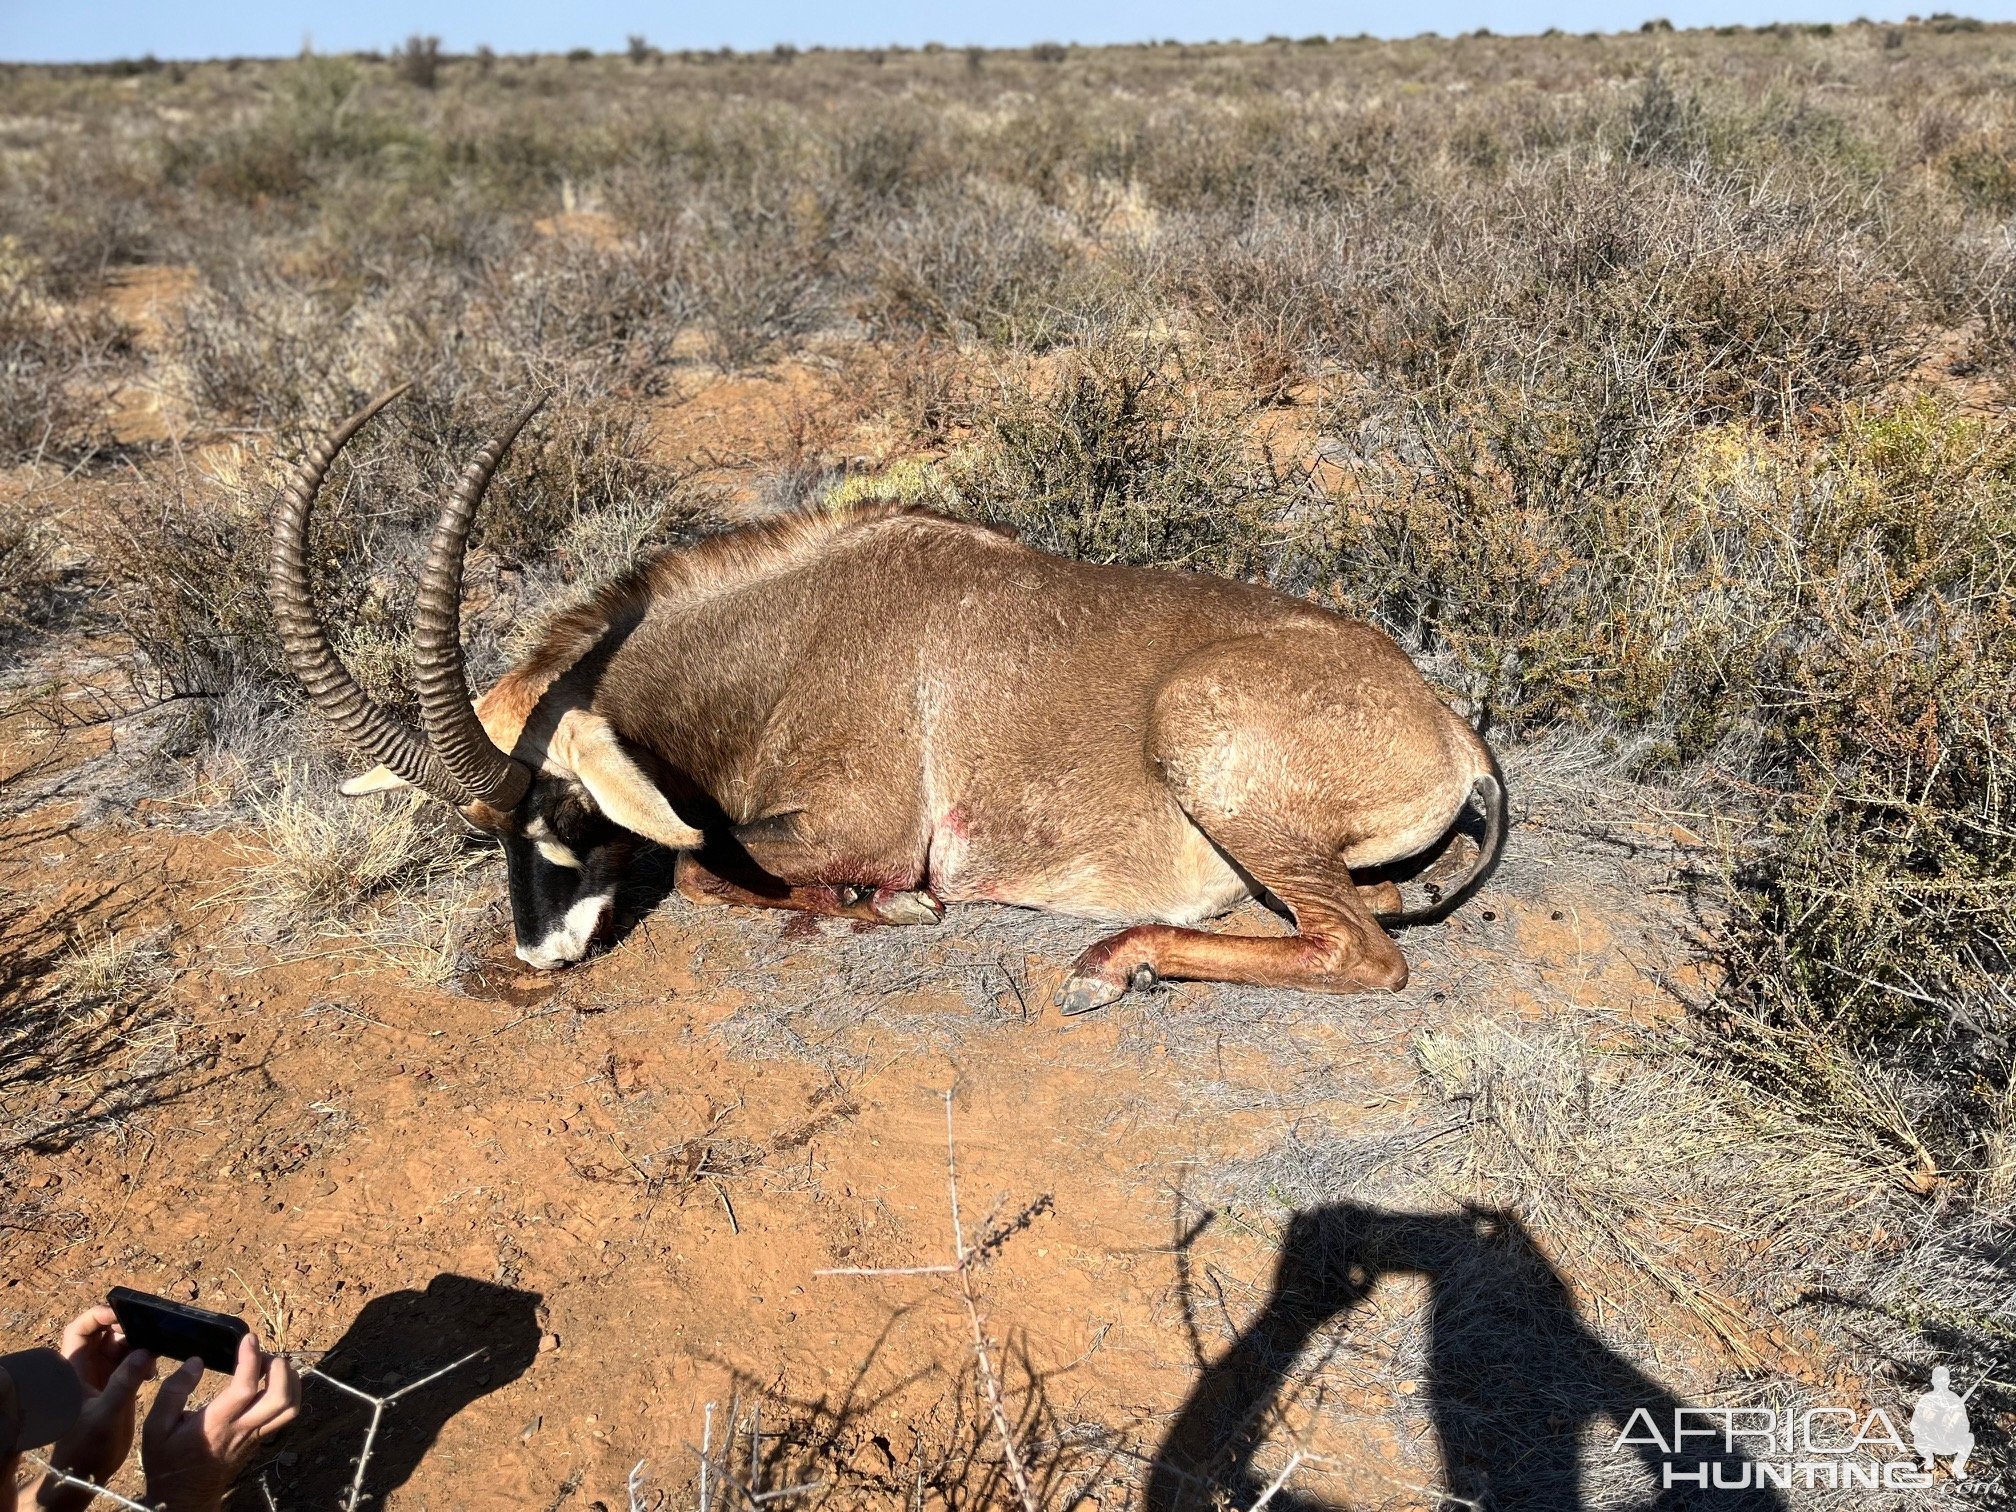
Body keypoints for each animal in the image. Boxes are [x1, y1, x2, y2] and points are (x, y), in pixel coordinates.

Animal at [268, 391, 1507, 1020]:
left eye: (570, 810)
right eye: (480, 832)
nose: (540, 956)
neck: (784, 635)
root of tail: (1447, 721)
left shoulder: (860, 825)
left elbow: (711, 869)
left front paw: (892, 908)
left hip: (1206, 748)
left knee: (1359, 952)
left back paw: (1115, 962)